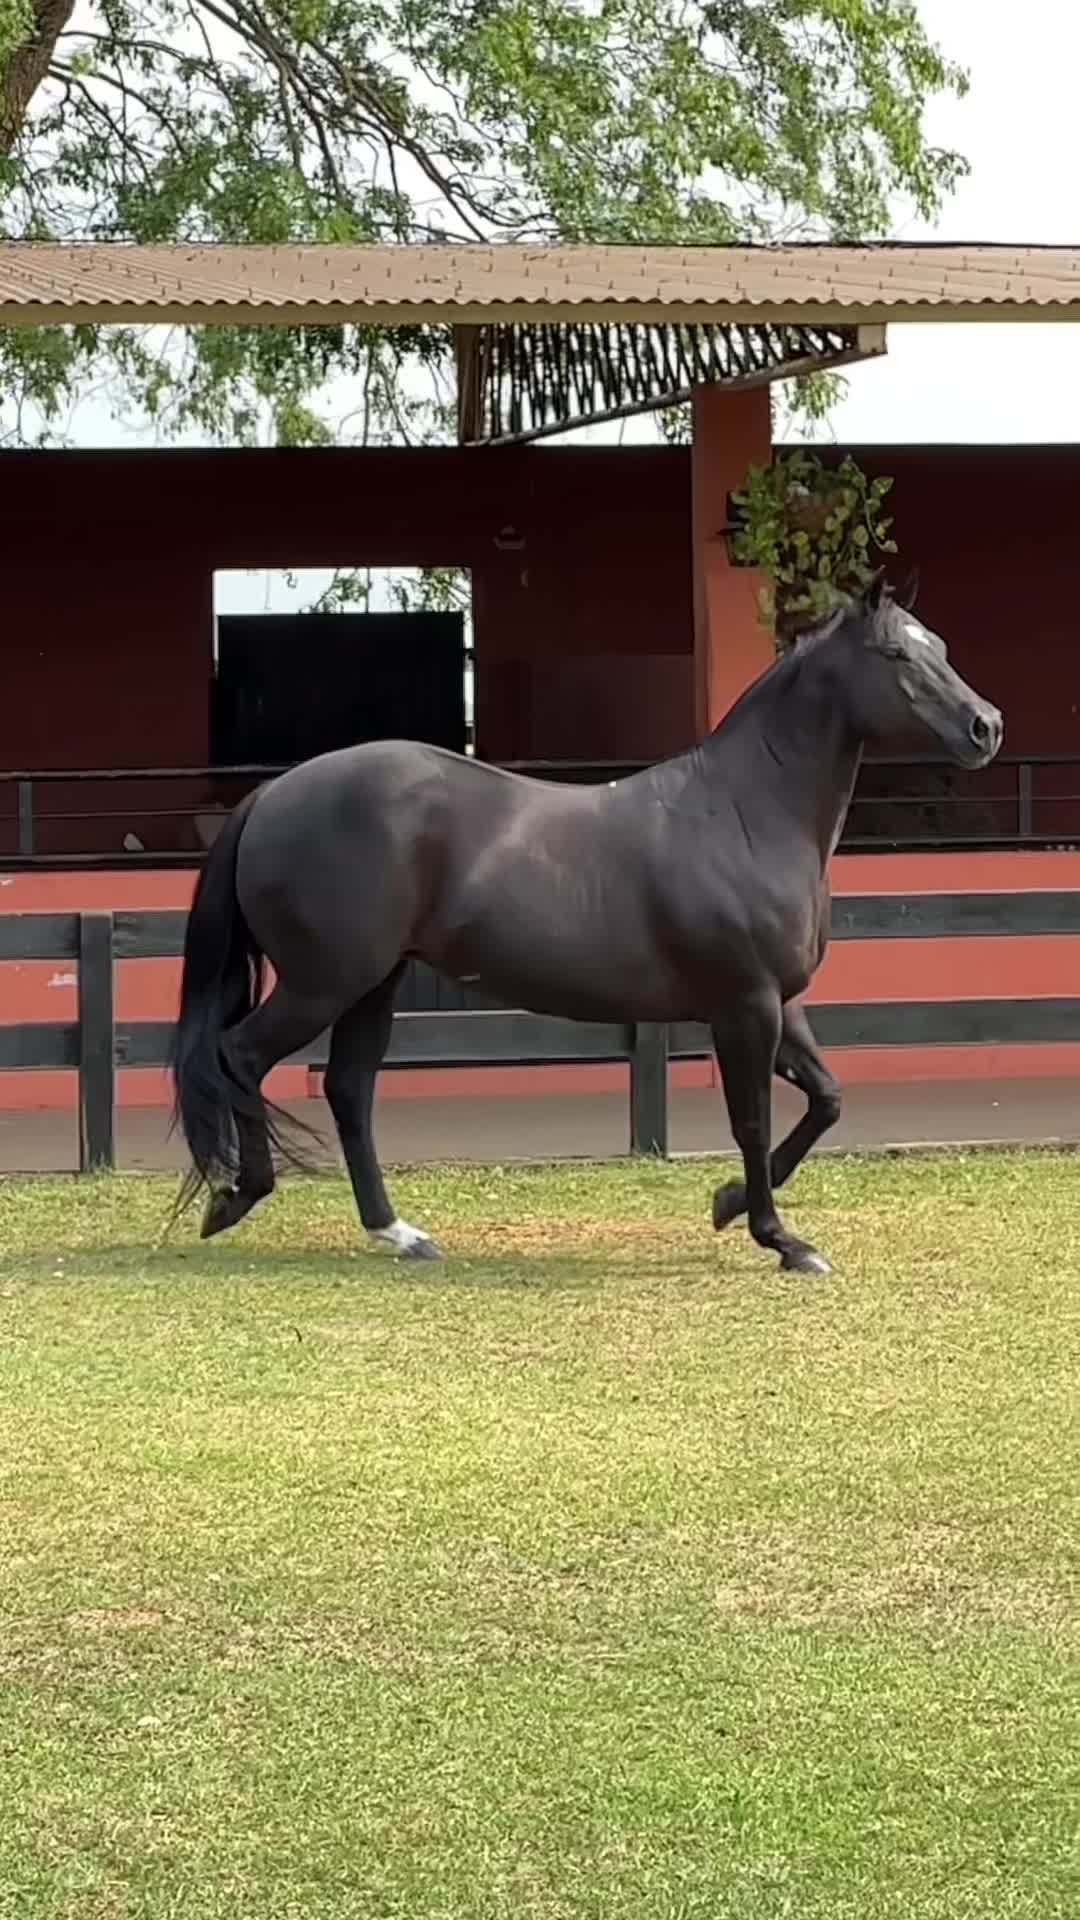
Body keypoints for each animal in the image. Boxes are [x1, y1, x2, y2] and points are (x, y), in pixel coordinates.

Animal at [172, 578, 1002, 1275]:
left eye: (941, 647)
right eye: (897, 655)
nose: (985, 727)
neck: (745, 813)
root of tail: (273, 794)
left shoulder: (777, 1001)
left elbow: (826, 1100)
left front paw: (728, 1205)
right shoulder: (745, 1006)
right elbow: (753, 1122)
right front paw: (781, 1240)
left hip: (373, 983)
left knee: (348, 1090)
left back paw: (398, 1233)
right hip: (324, 983)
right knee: (241, 1055)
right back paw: (236, 1198)